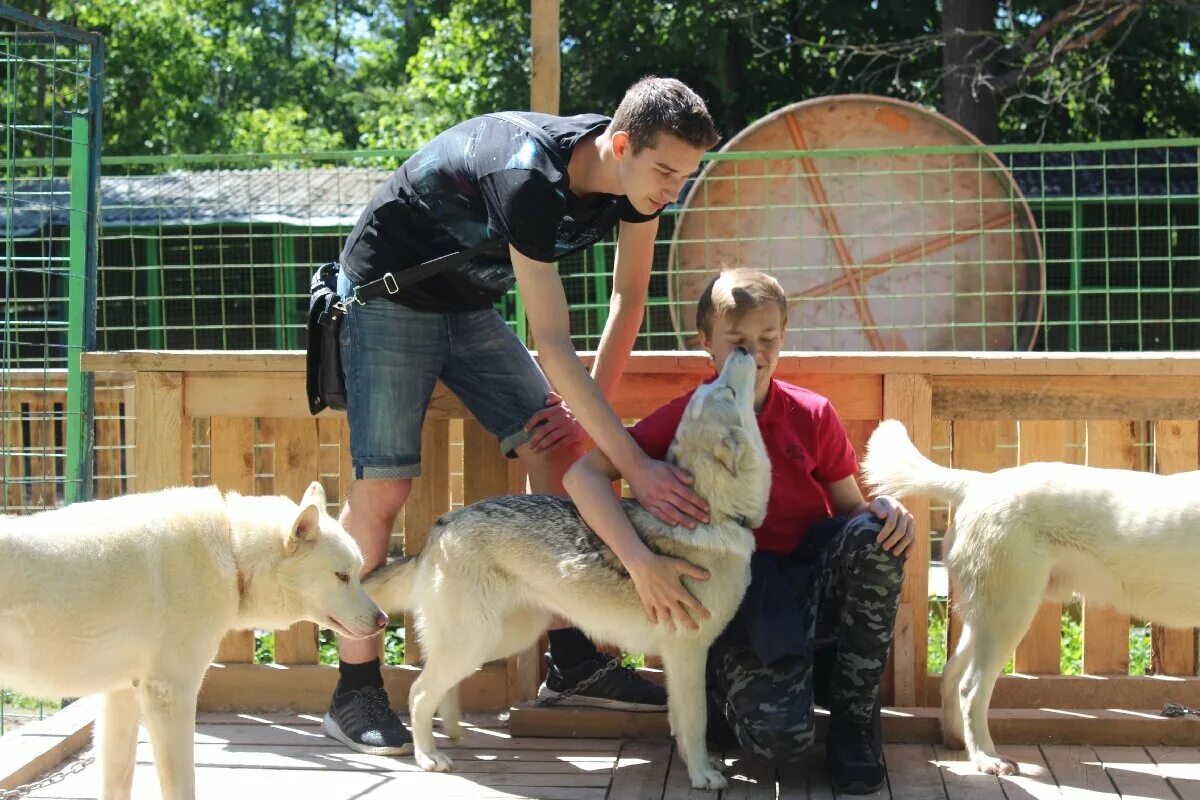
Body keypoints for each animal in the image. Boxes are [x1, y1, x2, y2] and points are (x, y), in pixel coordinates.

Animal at [0, 482, 384, 800]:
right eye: (342, 576)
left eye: (357, 574)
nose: (382, 621)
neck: (232, 551)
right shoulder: (171, 696)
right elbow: (183, 787)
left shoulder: (121, 697)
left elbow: (118, 782)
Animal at [364, 350, 772, 786]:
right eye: (727, 390)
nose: (742, 351)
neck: (718, 513)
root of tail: (443, 524)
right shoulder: (687, 653)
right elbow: (696, 722)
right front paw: (702, 776)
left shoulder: (680, 660)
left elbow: (679, 723)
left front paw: (700, 765)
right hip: (475, 641)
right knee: (419, 692)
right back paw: (429, 757)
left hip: (497, 641)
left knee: (442, 688)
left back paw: (453, 735)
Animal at [864, 422, 1200, 777]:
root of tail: (978, 483)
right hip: (1011, 611)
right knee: (971, 687)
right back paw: (987, 758)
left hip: (988, 614)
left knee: (952, 671)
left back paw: (958, 741)